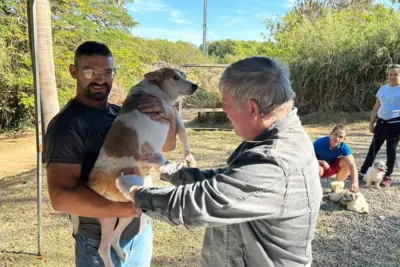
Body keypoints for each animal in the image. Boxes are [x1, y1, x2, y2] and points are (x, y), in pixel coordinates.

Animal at [71, 68, 198, 267]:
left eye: (184, 75)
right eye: (176, 77)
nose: (195, 85)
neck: (154, 90)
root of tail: (93, 184)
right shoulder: (175, 117)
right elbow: (185, 139)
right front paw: (189, 159)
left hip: (122, 212)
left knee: (115, 238)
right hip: (112, 214)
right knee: (103, 248)